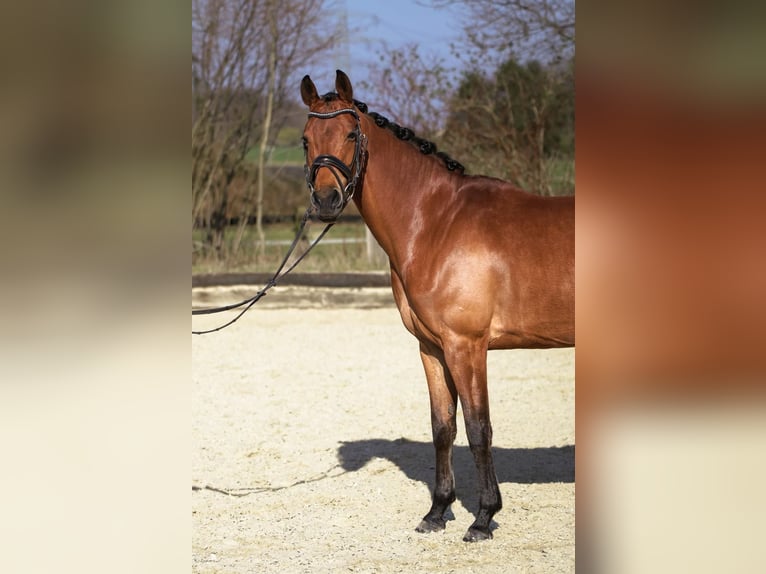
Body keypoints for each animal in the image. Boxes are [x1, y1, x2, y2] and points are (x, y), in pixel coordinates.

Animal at [300, 70, 574, 542]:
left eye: (352, 133)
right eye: (304, 139)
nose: (326, 201)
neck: (437, 223)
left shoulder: (467, 346)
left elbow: (478, 428)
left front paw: (483, 517)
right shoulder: (432, 348)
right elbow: (442, 426)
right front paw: (437, 510)